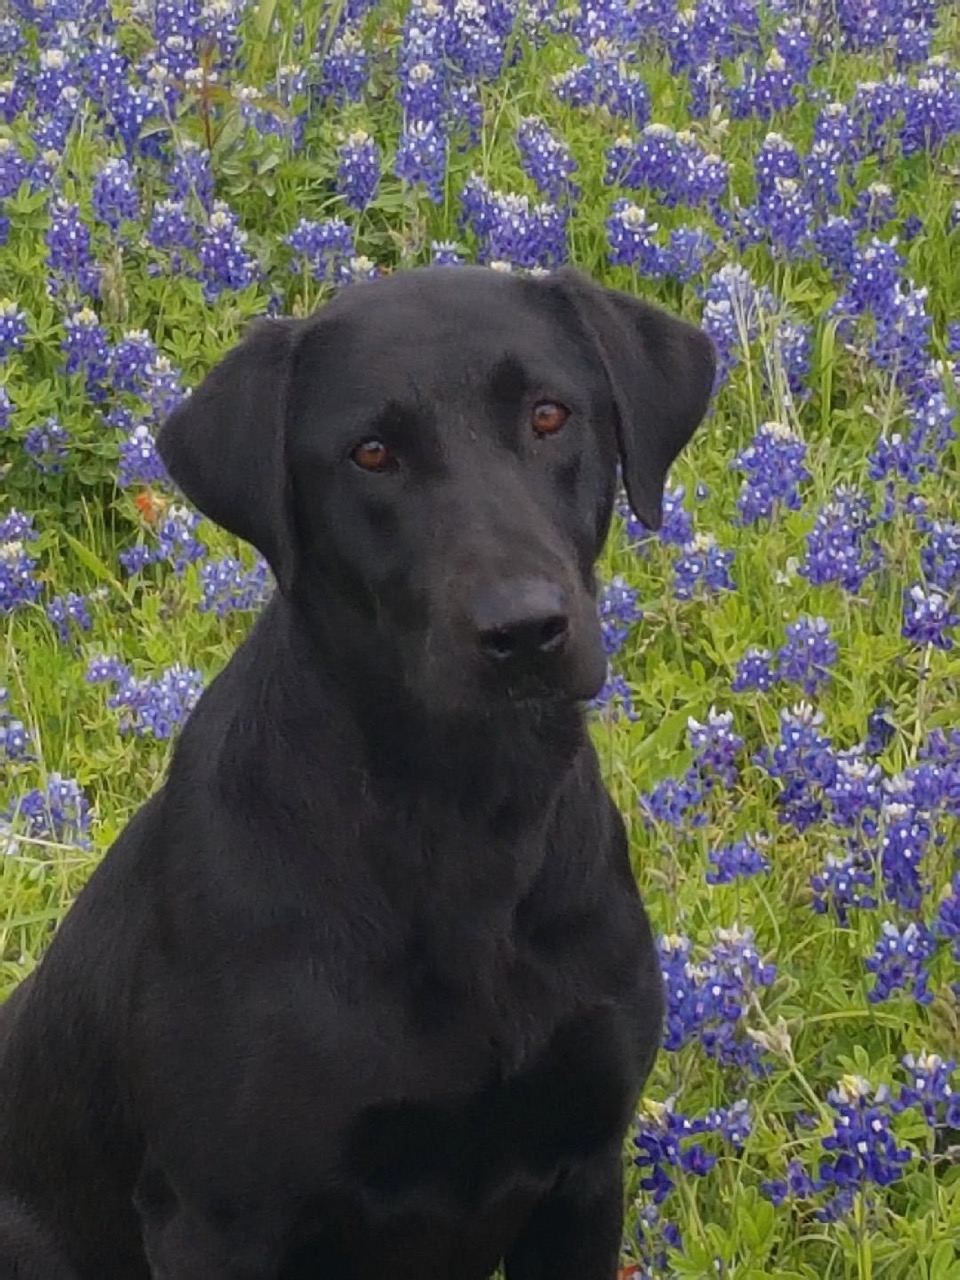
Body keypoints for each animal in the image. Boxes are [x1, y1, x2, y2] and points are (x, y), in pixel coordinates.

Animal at [0, 264, 716, 1274]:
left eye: (549, 415)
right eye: (371, 454)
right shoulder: (220, 1217)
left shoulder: (584, 1173)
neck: (465, 815)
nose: (524, 629)